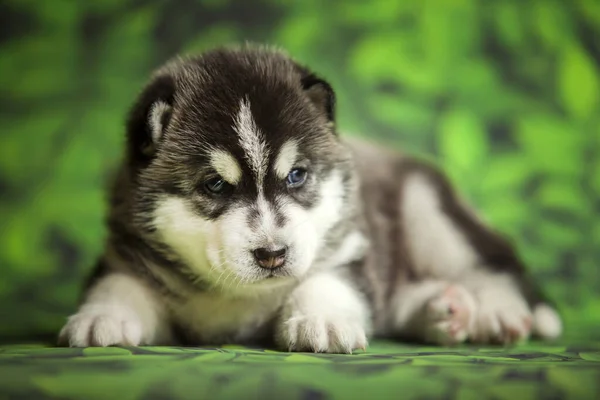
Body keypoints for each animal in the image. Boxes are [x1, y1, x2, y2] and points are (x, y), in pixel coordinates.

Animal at [58, 43, 564, 350]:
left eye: (297, 175)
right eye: (215, 185)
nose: (272, 255)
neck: (240, 297)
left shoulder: (349, 247)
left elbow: (325, 281)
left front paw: (322, 320)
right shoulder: (126, 253)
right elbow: (119, 283)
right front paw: (103, 315)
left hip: (427, 211)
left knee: (491, 264)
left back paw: (495, 311)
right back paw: (445, 310)